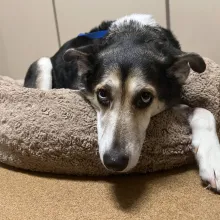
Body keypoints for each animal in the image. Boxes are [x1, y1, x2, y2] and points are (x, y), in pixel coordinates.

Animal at [24, 14, 220, 192]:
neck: (133, 33)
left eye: (145, 97)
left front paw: (212, 158)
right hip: (42, 63)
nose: (114, 162)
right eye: (102, 94)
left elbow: (203, 112)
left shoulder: (168, 103)